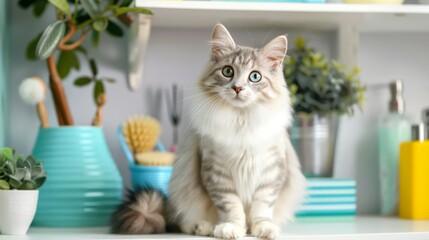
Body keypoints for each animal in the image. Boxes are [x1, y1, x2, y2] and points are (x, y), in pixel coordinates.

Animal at [110, 23, 304, 240]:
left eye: (255, 76)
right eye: (228, 71)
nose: (237, 88)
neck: (241, 120)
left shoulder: (271, 172)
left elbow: (262, 207)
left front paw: (263, 228)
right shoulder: (217, 172)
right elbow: (232, 206)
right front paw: (232, 228)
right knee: (185, 223)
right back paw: (204, 227)